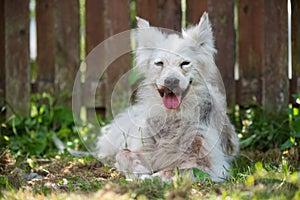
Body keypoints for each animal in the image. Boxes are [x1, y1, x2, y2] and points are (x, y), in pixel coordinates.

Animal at [96, 12, 239, 181]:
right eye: (159, 63)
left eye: (185, 63)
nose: (171, 81)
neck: (172, 117)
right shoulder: (147, 150)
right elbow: (124, 153)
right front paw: (138, 170)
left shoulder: (207, 164)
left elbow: (175, 170)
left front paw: (151, 178)